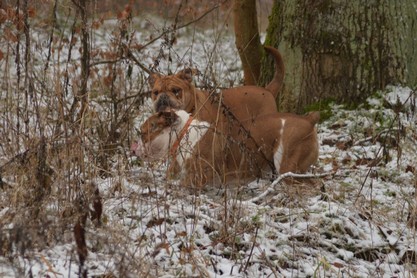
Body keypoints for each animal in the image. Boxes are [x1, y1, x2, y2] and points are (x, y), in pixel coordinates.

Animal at [132, 109, 320, 187]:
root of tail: (308, 119)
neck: (183, 132)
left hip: (287, 165)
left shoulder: (198, 176)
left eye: (143, 133)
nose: (133, 148)